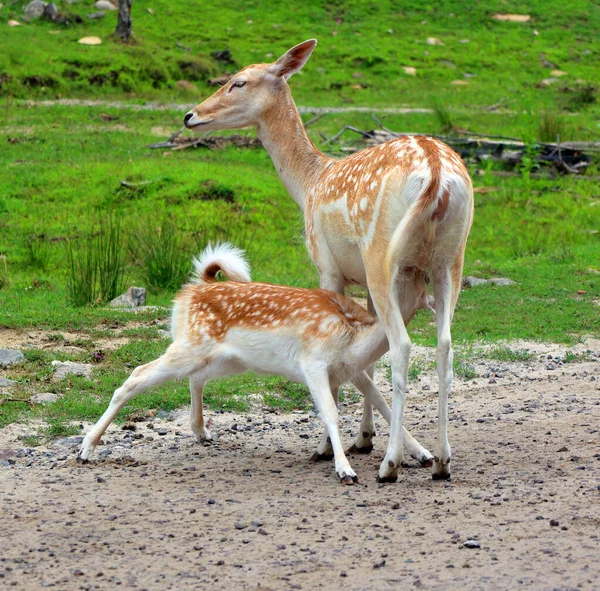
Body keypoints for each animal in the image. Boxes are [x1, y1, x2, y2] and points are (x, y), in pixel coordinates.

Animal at [183, 39, 474, 484]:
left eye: (239, 81)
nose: (191, 115)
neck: (308, 184)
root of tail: (437, 174)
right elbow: (368, 357)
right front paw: (365, 438)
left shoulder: (327, 266)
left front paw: (329, 449)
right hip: (450, 261)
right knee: (445, 347)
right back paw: (441, 461)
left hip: (381, 255)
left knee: (404, 346)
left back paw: (390, 466)